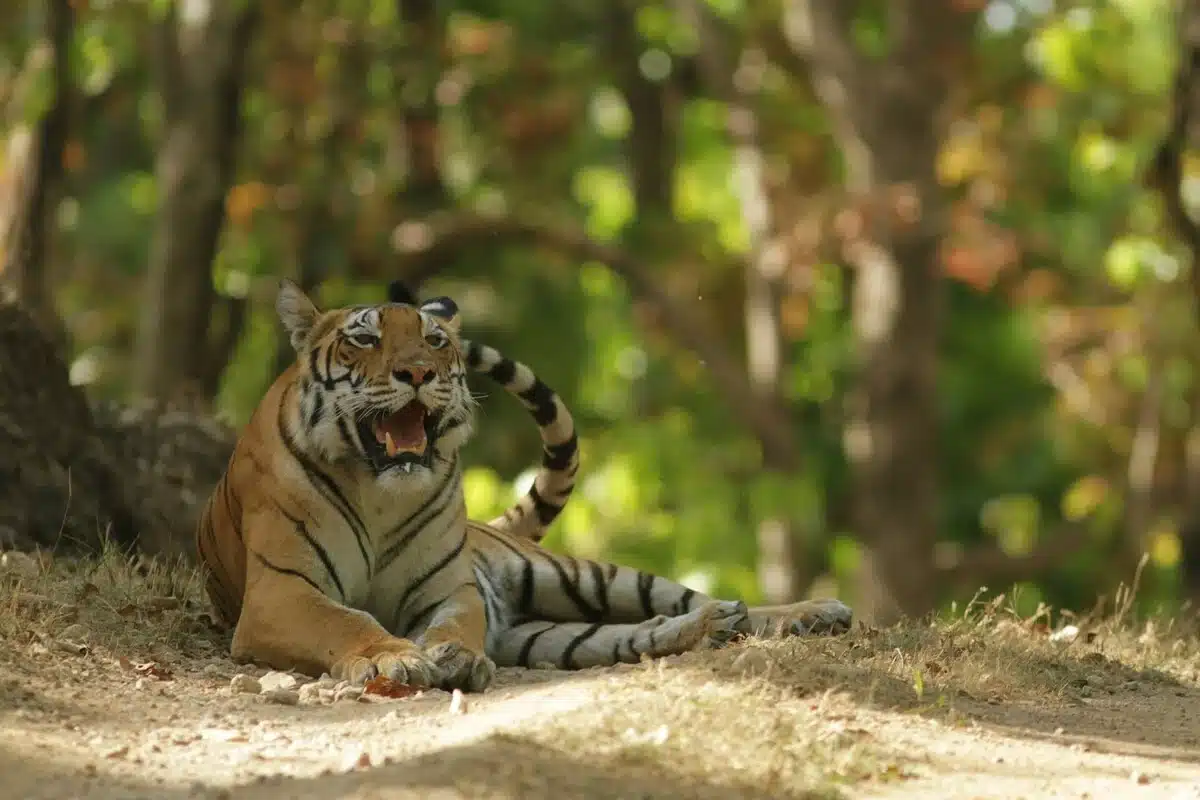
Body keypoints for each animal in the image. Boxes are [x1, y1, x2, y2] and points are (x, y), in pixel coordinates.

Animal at [196, 281, 854, 695]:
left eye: (434, 341)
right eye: (365, 339)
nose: (419, 373)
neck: (379, 489)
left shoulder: (450, 588)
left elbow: (453, 625)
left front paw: (456, 659)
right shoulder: (281, 592)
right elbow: (347, 622)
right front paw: (395, 657)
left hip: (583, 576)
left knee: (684, 596)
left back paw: (805, 613)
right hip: (545, 634)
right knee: (629, 635)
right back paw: (711, 627)